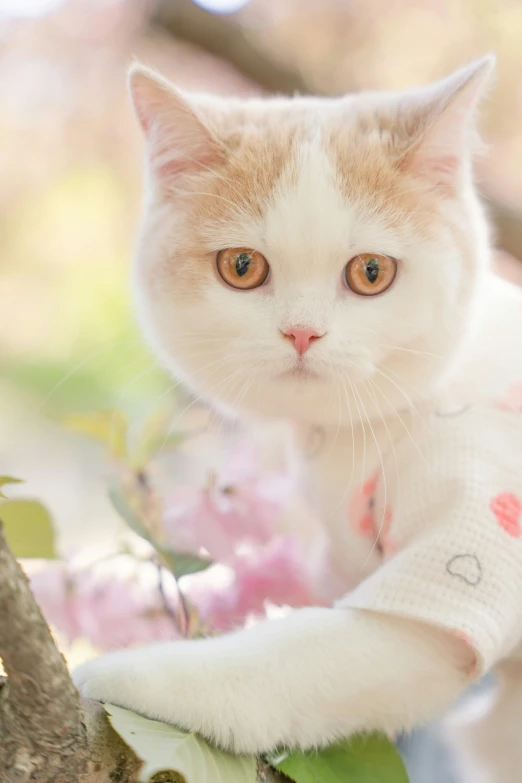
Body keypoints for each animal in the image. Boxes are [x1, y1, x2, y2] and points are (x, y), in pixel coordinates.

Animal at [72, 56, 520, 783]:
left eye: (371, 272)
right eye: (242, 267)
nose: (302, 332)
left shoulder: (475, 524)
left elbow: (289, 659)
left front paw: (123, 671)